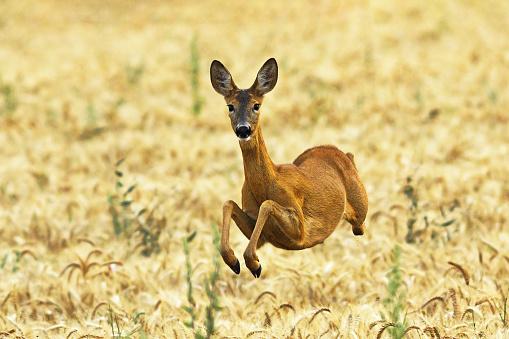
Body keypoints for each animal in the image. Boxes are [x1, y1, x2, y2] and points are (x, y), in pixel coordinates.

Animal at [208, 58, 368, 278]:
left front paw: (253, 264)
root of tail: (343, 154)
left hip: (361, 206)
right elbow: (228, 203)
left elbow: (267, 205)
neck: (267, 183)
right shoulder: (262, 234)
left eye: (256, 105)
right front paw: (235, 262)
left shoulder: (300, 229)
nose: (243, 129)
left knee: (360, 225)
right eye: (230, 106)